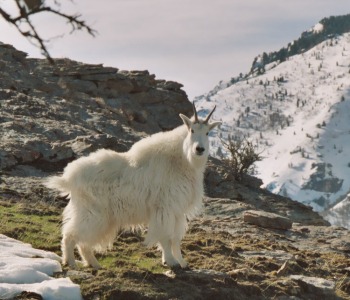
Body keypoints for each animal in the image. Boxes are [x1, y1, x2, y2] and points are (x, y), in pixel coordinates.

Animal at [44, 103, 221, 270]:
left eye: (207, 133)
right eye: (192, 130)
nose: (199, 149)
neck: (183, 161)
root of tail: (69, 178)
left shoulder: (178, 211)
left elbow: (175, 238)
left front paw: (182, 263)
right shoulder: (164, 208)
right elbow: (165, 237)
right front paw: (171, 262)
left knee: (83, 242)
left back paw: (94, 264)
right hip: (93, 213)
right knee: (71, 234)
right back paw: (71, 263)